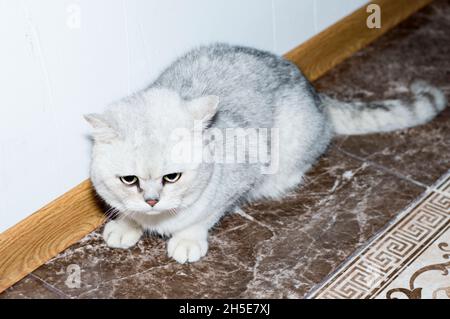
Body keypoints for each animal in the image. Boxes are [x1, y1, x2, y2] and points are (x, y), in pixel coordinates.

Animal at [84, 43, 446, 264]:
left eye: (172, 177)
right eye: (129, 180)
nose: (151, 201)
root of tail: (316, 95)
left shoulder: (240, 175)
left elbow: (206, 214)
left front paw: (187, 239)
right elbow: (127, 212)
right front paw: (126, 224)